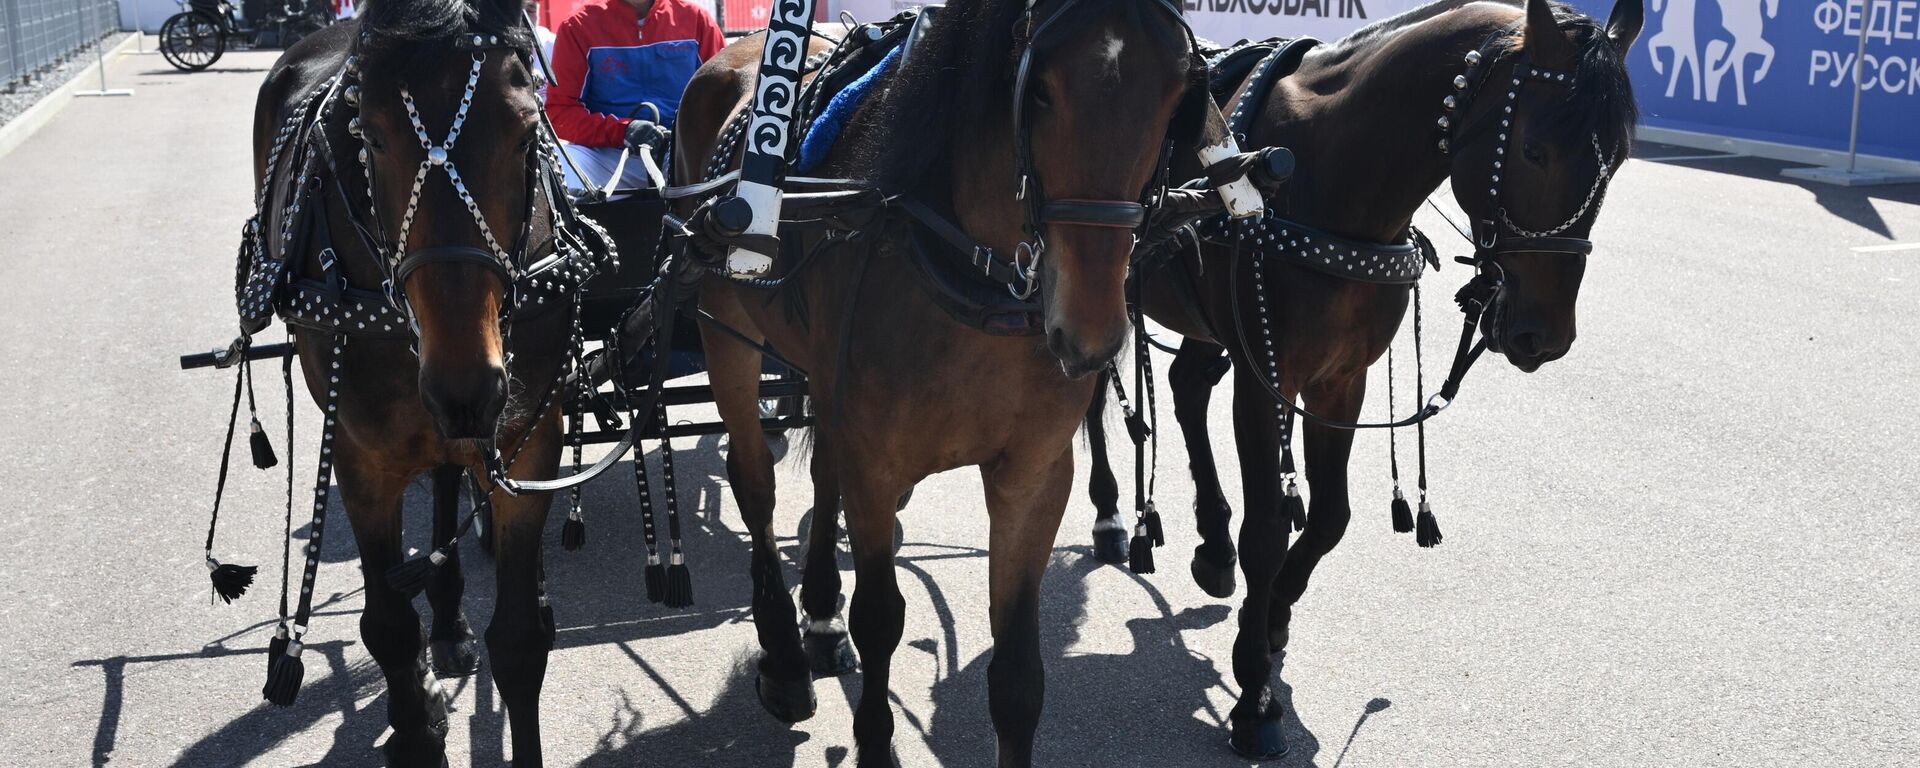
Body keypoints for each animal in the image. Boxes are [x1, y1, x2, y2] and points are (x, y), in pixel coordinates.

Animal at [244, 0, 596, 762]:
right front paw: (417, 722)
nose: (465, 385)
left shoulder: (527, 439)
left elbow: (519, 641)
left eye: (526, 134)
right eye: (371, 138)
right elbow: (387, 626)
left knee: (446, 474)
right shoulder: (360, 457)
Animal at [670, 0, 1207, 762]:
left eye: (1174, 95)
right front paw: (872, 736)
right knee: (756, 485)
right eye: (1040, 91)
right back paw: (784, 656)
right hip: (723, 324)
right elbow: (880, 617)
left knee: (822, 470)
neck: (972, 273)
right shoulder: (875, 459)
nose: (1089, 330)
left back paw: (820, 617)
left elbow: (1016, 669)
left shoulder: (1034, 472)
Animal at [1077, 0, 1644, 756]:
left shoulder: (1341, 380)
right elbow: (1269, 529)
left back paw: (1211, 543)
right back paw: (1113, 513)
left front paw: (1272, 619)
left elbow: (1329, 519)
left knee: (1188, 384)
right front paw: (1255, 695)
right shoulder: (1265, 375)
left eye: (1618, 160)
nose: (1543, 334)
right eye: (1532, 150)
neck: (1329, 174)